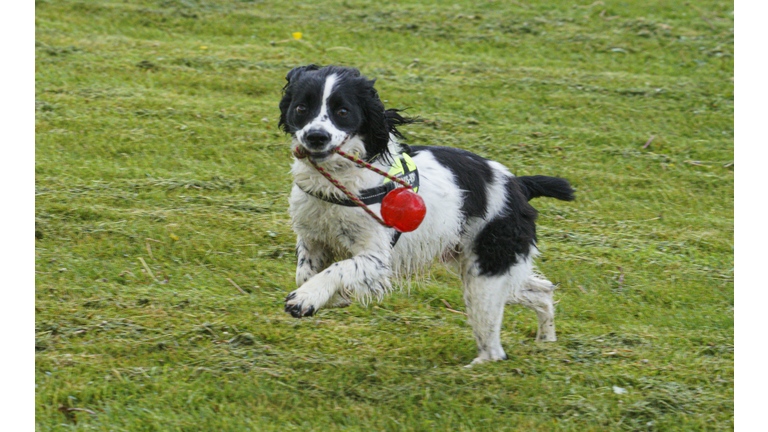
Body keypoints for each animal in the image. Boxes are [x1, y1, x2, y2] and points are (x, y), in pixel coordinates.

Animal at [280, 65, 572, 364]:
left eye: (342, 111)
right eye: (301, 108)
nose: (316, 137)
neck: (336, 182)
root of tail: (518, 184)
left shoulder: (375, 257)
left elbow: (337, 269)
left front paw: (307, 298)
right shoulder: (312, 239)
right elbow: (305, 273)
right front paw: (333, 297)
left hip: (484, 277)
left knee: (494, 350)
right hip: (482, 268)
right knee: (542, 290)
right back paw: (546, 342)